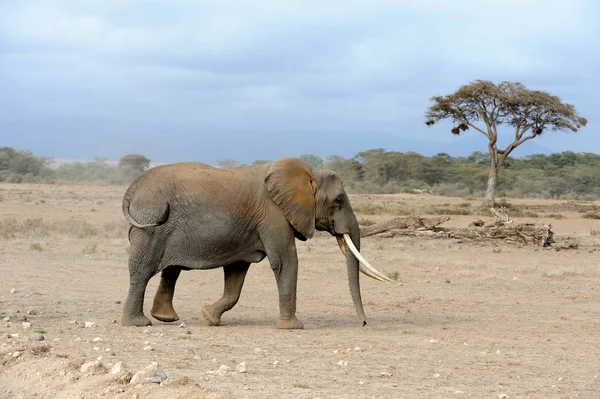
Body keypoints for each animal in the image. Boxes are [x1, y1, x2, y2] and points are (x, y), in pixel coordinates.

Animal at [119, 158, 392, 330]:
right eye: (339, 201)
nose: (365, 323)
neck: (307, 173)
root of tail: (132, 189)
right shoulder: (273, 215)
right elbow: (285, 261)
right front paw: (293, 327)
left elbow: (236, 274)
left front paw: (209, 317)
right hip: (151, 227)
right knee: (142, 271)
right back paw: (139, 323)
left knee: (170, 270)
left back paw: (165, 318)